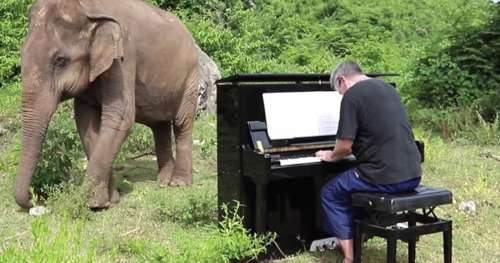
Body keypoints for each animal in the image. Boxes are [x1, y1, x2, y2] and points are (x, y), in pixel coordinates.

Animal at [16, 0, 199, 210]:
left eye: (60, 61)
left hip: (191, 78)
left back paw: (179, 183)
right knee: (159, 126)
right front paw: (110, 200)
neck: (87, 7)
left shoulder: (123, 57)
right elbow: (85, 121)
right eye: (22, 53)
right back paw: (163, 182)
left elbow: (120, 119)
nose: (33, 200)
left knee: (182, 123)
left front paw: (90, 203)